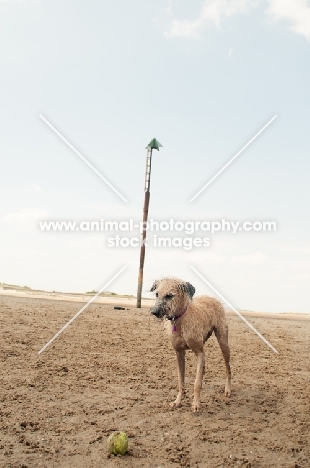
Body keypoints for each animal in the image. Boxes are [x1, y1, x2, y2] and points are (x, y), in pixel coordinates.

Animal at [150, 276, 230, 412]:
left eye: (169, 295)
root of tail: (213, 298)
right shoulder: (179, 354)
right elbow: (181, 382)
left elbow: (196, 383)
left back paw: (228, 389)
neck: (180, 319)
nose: (154, 312)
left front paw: (196, 403)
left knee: (228, 367)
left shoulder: (199, 352)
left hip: (223, 342)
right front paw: (177, 401)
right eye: (156, 294)